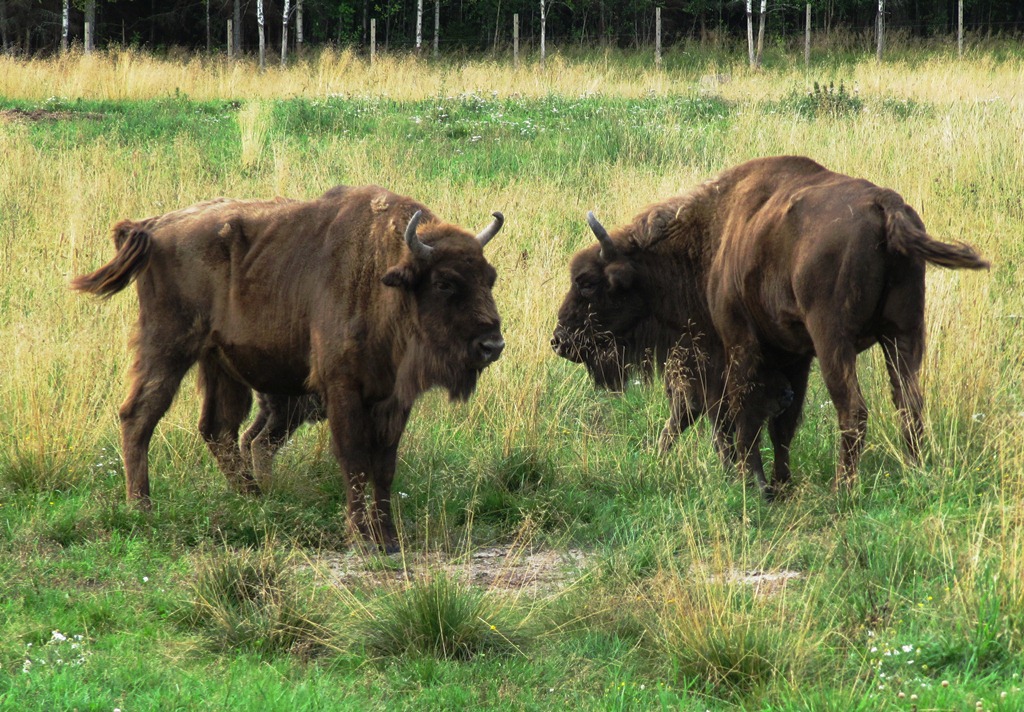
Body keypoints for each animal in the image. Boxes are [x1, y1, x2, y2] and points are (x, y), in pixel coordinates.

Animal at [73, 186, 505, 552]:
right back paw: (142, 506)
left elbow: (384, 466)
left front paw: (387, 537)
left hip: (220, 363)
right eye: (445, 282)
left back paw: (254, 497)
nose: (492, 345)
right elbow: (355, 460)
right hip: (167, 346)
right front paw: (360, 536)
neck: (384, 276)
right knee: (139, 415)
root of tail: (152, 226)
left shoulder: (393, 398)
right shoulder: (342, 388)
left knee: (219, 429)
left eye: (490, 277)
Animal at [552, 156, 989, 497]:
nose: (559, 341)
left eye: (587, 282)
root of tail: (886, 203)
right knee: (909, 404)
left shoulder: (739, 345)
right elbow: (782, 424)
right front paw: (779, 482)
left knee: (853, 410)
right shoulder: (793, 357)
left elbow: (742, 416)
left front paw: (754, 483)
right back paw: (916, 473)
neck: (715, 235)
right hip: (904, 334)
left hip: (835, 342)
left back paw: (843, 489)